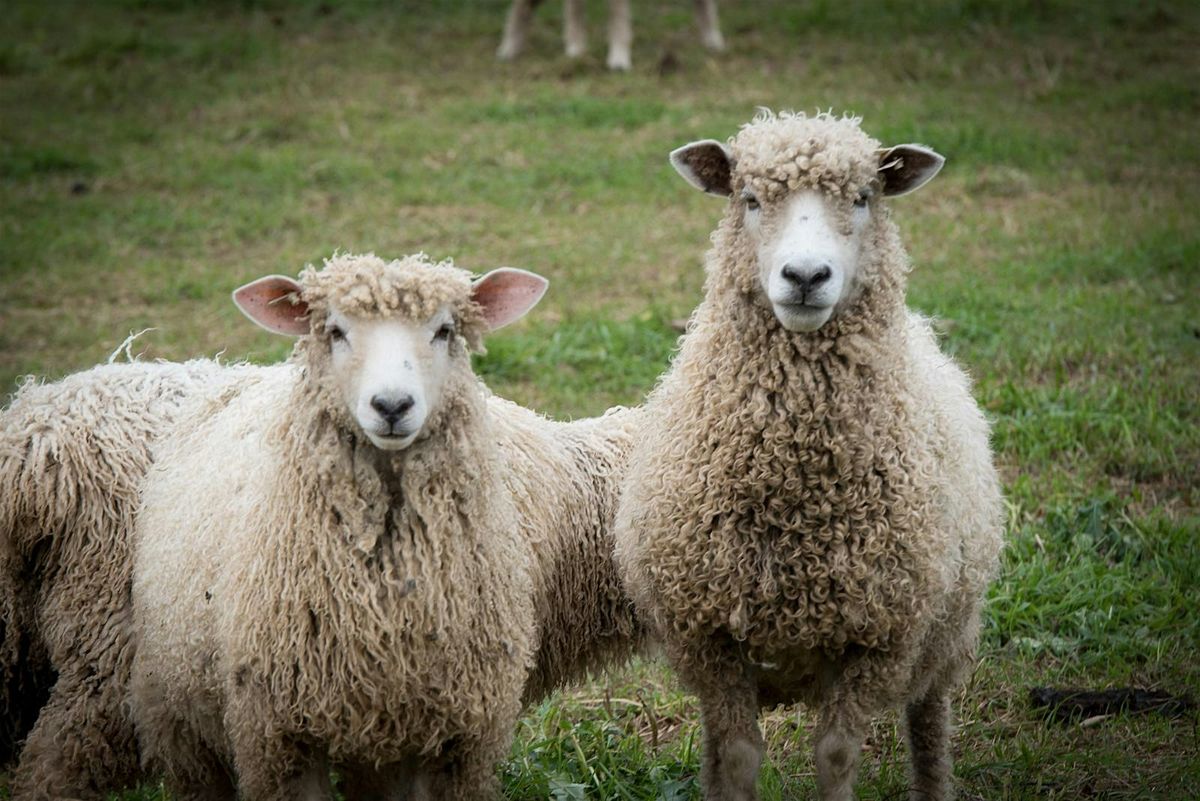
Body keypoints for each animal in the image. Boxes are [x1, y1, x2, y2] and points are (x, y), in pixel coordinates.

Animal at [614, 112, 1008, 801]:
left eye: (864, 197)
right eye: (749, 199)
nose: (804, 277)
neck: (796, 492)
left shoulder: (879, 640)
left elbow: (836, 755)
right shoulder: (709, 639)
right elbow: (737, 756)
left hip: (944, 640)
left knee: (930, 727)